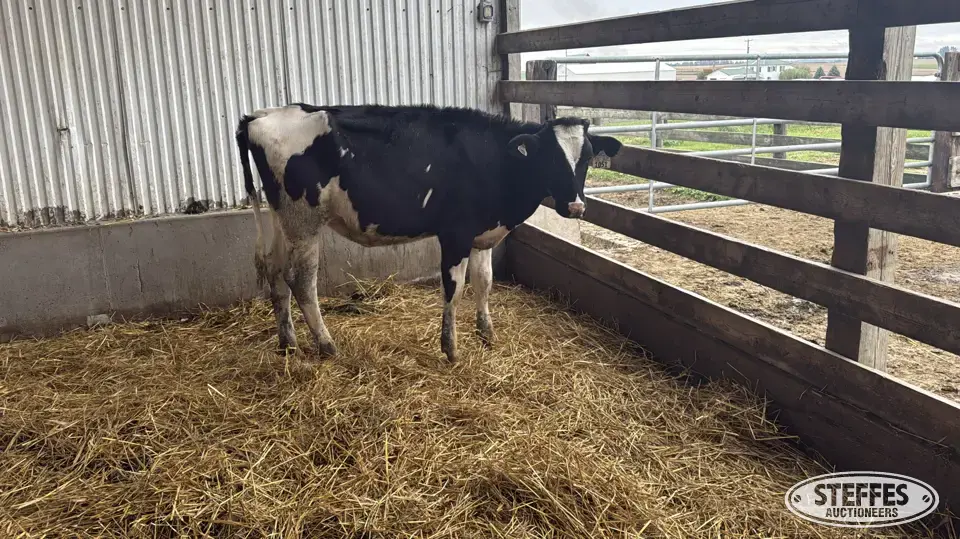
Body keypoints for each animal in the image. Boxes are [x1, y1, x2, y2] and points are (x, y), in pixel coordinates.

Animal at [234, 103, 622, 363]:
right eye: (550, 158)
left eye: (587, 157)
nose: (576, 208)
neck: (494, 161)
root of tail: (260, 116)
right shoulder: (455, 234)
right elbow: (454, 289)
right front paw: (450, 349)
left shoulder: (483, 233)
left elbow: (485, 281)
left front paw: (487, 333)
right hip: (305, 222)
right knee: (302, 282)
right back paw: (327, 345)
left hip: (283, 219)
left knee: (276, 272)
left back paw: (288, 342)